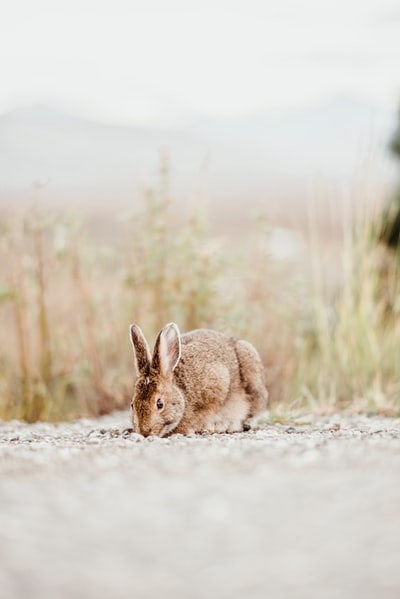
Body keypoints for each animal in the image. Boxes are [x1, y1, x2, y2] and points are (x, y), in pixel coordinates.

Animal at [130, 324, 268, 436]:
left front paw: (213, 426)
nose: (144, 432)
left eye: (160, 404)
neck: (183, 395)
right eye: (132, 405)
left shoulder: (218, 382)